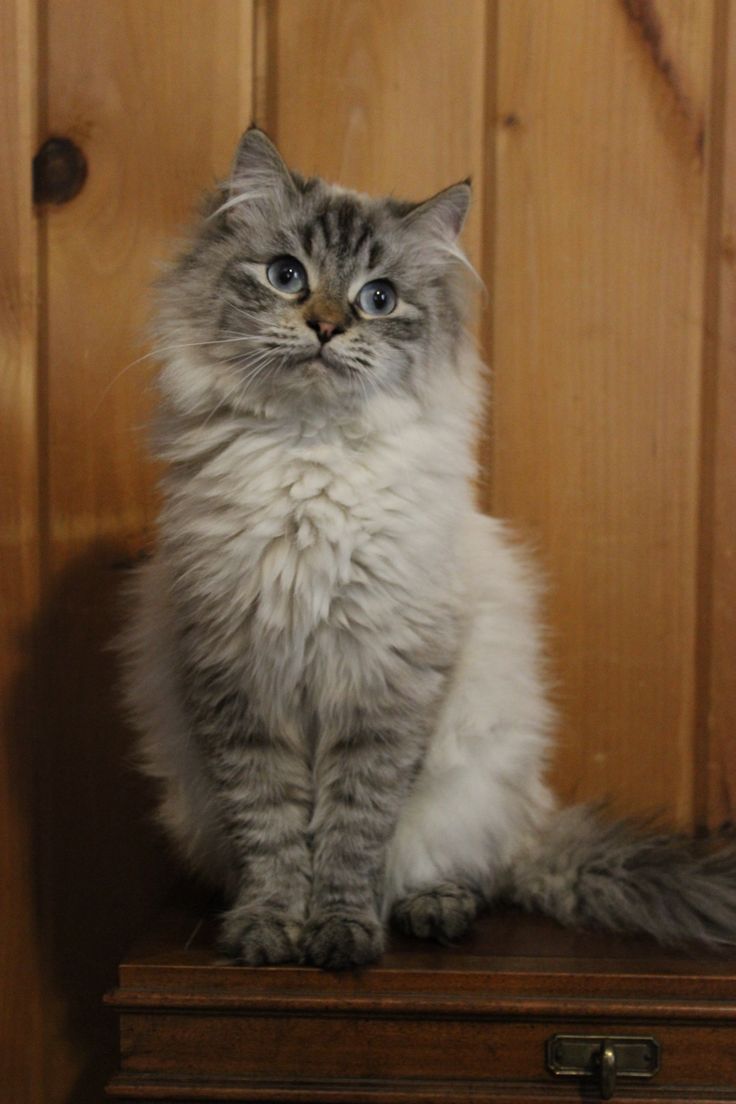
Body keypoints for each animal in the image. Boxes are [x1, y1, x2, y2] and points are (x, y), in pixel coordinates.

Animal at [120, 126, 736, 967]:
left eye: (377, 298)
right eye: (287, 276)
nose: (326, 326)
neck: (311, 458)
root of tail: (529, 821)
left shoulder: (381, 687)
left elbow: (350, 834)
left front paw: (340, 936)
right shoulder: (240, 678)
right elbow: (272, 832)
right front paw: (270, 929)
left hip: (473, 784)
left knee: (471, 872)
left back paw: (431, 910)